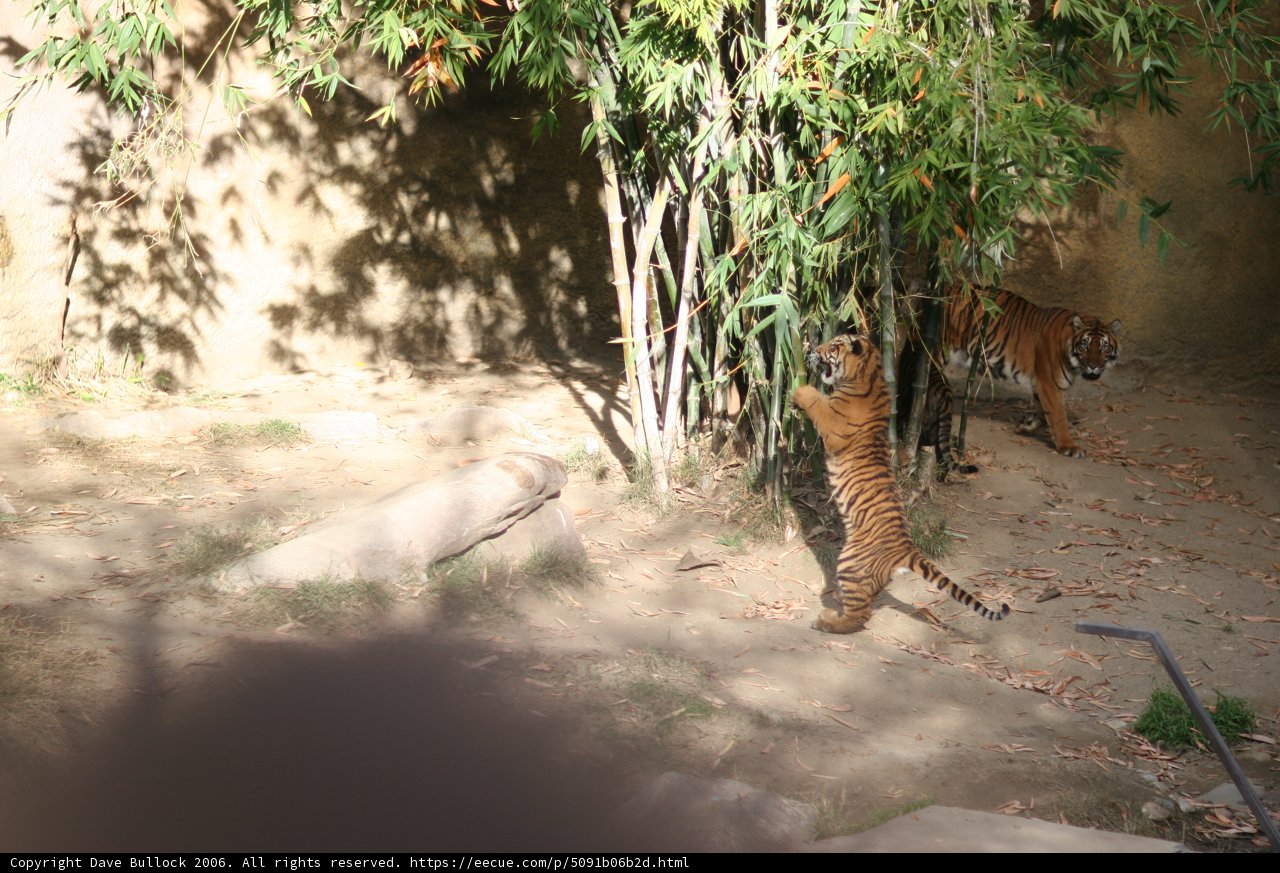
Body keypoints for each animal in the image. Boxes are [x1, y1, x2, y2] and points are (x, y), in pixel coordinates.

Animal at [792, 334, 1011, 634]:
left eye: (833, 346)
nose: (815, 349)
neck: (869, 375)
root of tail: (906, 548)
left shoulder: (833, 423)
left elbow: (817, 401)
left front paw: (799, 392)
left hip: (850, 561)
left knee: (859, 617)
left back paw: (825, 621)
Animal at [942, 286, 1121, 458]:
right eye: (1085, 345)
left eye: (1104, 347)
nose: (1093, 366)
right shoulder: (1049, 384)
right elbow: (1058, 416)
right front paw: (1069, 447)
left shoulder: (1040, 385)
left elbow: (1043, 414)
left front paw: (1026, 425)